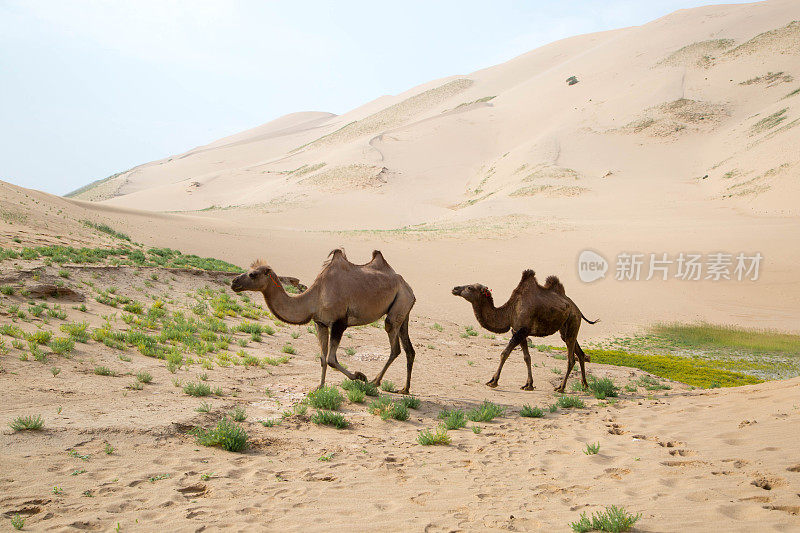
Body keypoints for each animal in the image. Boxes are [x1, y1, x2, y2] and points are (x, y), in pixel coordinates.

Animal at [231, 248, 418, 390]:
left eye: (253, 274)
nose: (234, 282)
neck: (314, 297)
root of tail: (408, 287)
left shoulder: (339, 323)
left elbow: (331, 359)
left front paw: (360, 376)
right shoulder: (320, 323)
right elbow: (322, 359)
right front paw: (319, 387)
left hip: (398, 306)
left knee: (395, 346)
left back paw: (374, 382)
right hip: (404, 310)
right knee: (409, 349)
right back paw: (405, 389)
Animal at [454, 270, 596, 390]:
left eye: (470, 287)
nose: (455, 288)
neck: (509, 311)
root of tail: (577, 309)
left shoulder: (521, 331)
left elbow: (504, 353)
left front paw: (493, 381)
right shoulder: (518, 331)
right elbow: (527, 357)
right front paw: (529, 385)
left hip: (573, 321)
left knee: (571, 358)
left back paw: (561, 388)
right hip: (566, 329)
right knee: (580, 353)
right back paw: (584, 385)